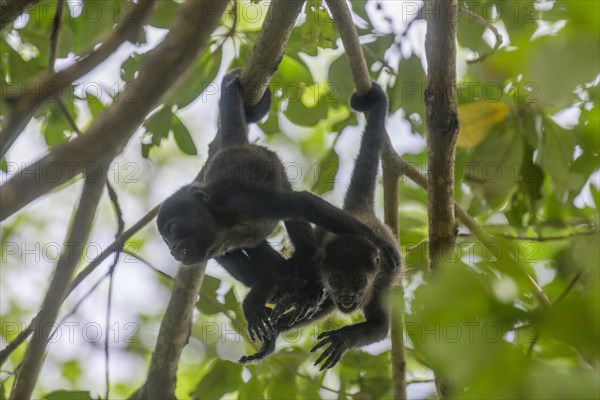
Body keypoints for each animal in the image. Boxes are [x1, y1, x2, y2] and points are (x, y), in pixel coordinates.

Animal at [237, 83, 400, 370]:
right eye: (337, 279)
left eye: (358, 280)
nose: (346, 295)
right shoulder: (318, 268)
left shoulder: (382, 277)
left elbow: (380, 326)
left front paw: (343, 338)